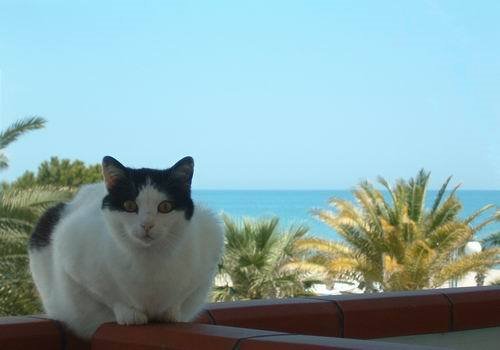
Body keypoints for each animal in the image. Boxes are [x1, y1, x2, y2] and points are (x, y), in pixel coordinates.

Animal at [27, 156, 223, 340]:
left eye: (165, 206)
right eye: (129, 205)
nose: (147, 225)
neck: (149, 262)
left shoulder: (210, 248)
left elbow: (179, 299)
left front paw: (170, 313)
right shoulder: (71, 254)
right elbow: (110, 296)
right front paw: (130, 314)